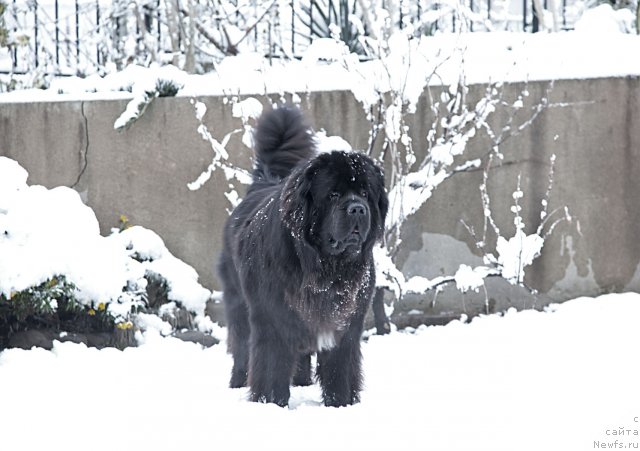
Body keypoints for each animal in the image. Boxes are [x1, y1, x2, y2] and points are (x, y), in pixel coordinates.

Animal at [220, 107, 388, 410]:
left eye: (365, 193)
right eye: (333, 194)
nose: (358, 209)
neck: (325, 268)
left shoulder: (344, 327)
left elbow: (339, 370)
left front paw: (341, 404)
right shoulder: (272, 320)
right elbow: (271, 368)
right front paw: (270, 403)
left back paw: (301, 380)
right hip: (238, 301)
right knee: (240, 344)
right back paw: (238, 381)